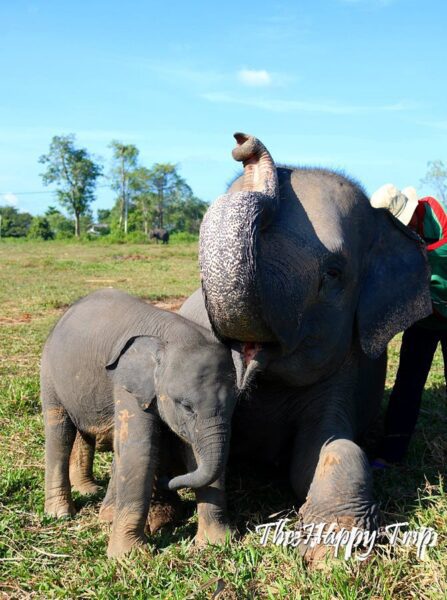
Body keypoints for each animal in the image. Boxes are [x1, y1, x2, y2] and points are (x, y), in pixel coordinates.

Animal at [42, 288, 238, 556]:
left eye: (234, 402)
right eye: (186, 406)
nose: (168, 481)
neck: (168, 336)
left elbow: (193, 451)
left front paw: (216, 542)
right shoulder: (126, 383)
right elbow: (139, 447)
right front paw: (129, 556)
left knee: (85, 434)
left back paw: (91, 493)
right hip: (49, 372)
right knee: (59, 431)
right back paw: (60, 514)